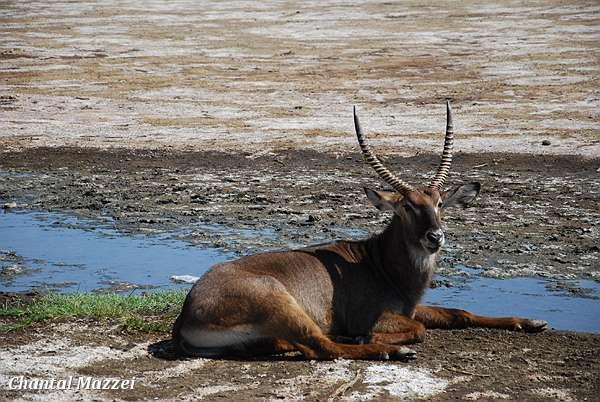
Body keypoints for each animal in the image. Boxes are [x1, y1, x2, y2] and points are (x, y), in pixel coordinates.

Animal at [172, 102, 548, 360]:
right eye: (406, 206)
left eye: (440, 203)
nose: (435, 237)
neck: (379, 262)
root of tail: (186, 315)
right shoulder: (377, 316)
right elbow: (419, 329)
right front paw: (373, 339)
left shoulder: (409, 308)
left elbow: (459, 313)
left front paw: (529, 322)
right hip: (281, 302)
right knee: (324, 346)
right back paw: (386, 350)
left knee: (307, 346)